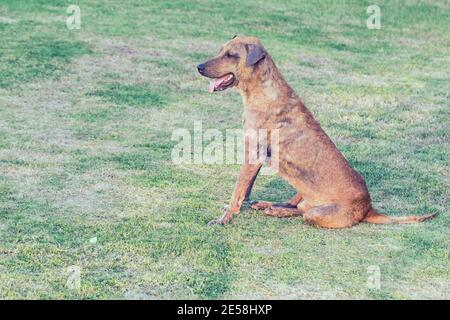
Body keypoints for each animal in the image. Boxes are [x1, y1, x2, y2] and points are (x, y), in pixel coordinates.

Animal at [197, 35, 436, 228]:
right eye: (221, 50)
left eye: (231, 55)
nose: (198, 67)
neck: (262, 91)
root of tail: (368, 208)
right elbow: (245, 190)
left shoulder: (253, 154)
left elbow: (238, 190)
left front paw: (224, 219)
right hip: (302, 187)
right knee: (296, 205)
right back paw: (269, 205)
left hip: (317, 212)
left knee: (303, 212)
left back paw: (277, 210)